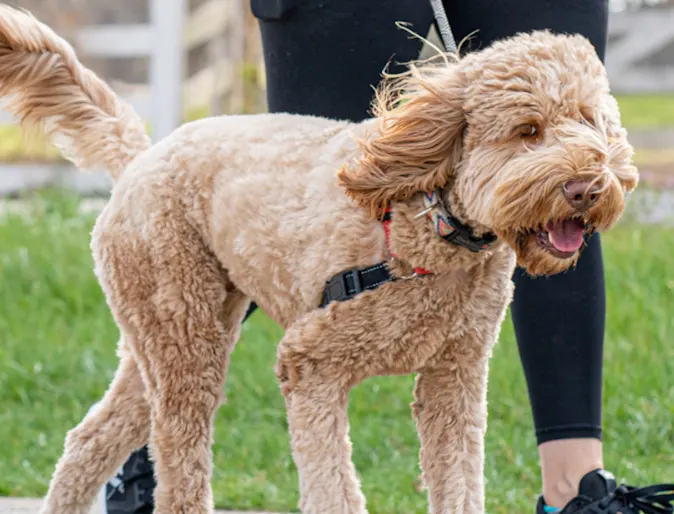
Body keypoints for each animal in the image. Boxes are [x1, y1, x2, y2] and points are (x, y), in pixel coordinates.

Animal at [0, 5, 636, 512]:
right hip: (184, 339)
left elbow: (458, 485)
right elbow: (333, 486)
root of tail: (143, 156)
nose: (587, 187)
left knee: (91, 438)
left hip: (173, 332)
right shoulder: (310, 365)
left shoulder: (453, 379)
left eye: (589, 120)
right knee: (179, 469)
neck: (428, 226)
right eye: (527, 130)